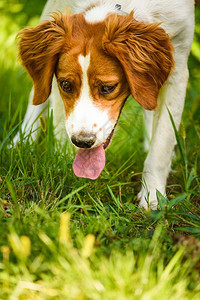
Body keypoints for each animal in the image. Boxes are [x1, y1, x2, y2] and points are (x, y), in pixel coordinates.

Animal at [14, 0, 197, 209]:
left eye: (108, 87)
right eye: (66, 85)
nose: (82, 141)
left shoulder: (178, 63)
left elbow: (162, 144)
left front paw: (153, 195)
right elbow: (59, 125)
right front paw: (64, 171)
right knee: (37, 93)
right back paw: (19, 144)